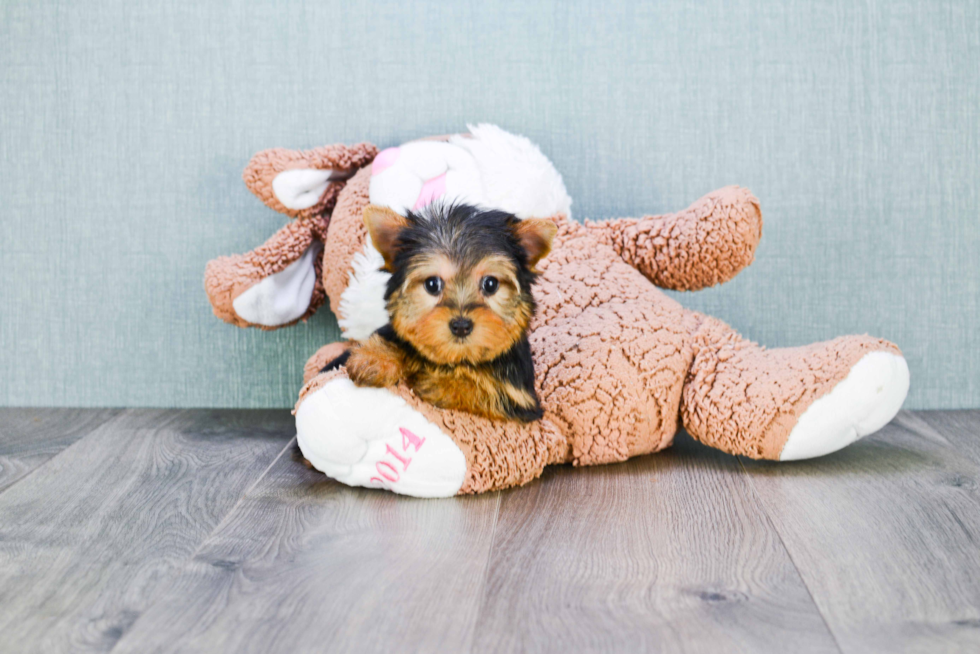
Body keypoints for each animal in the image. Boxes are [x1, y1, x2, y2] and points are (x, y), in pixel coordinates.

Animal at [328, 202, 560, 422]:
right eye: (432, 284)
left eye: (491, 284)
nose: (461, 326)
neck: (454, 359)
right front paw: (375, 358)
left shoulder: (520, 398)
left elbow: (485, 391)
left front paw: (439, 383)